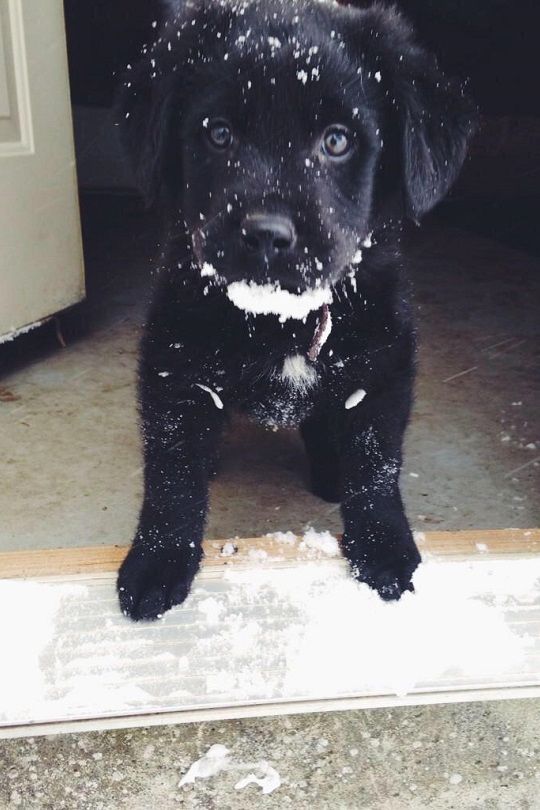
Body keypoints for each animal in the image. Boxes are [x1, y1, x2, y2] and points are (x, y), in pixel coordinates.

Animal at [116, 0, 474, 620]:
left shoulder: (383, 369)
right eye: (218, 134)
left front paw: (384, 548)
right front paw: (158, 560)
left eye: (337, 141)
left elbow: (376, 469)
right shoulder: (173, 369)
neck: (280, 323)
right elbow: (172, 476)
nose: (266, 235)